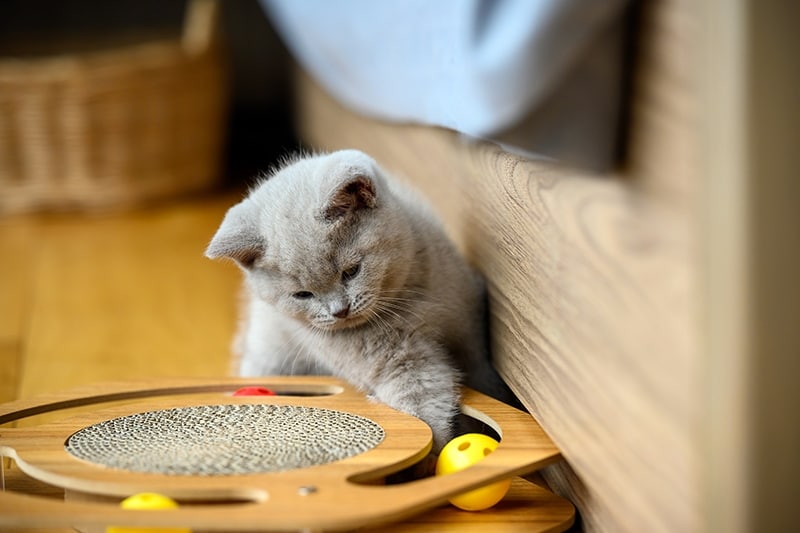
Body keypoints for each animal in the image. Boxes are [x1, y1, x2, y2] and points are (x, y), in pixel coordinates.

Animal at [208, 149, 512, 448]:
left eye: (351, 271)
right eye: (303, 294)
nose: (339, 310)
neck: (411, 300)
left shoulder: (469, 325)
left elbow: (480, 370)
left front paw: (493, 398)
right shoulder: (397, 359)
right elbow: (419, 397)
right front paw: (431, 451)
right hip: (269, 357)